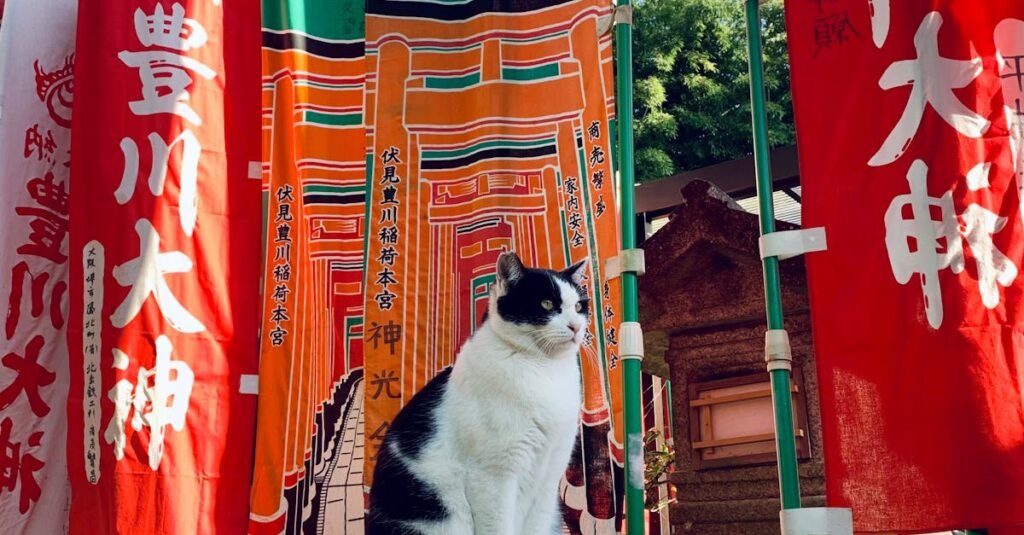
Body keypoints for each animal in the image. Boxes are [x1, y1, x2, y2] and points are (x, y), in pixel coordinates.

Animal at [368, 251, 593, 532]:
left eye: (579, 307)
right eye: (547, 304)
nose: (576, 327)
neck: (545, 369)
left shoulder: (549, 474)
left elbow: (537, 522)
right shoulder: (493, 476)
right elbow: (498, 525)